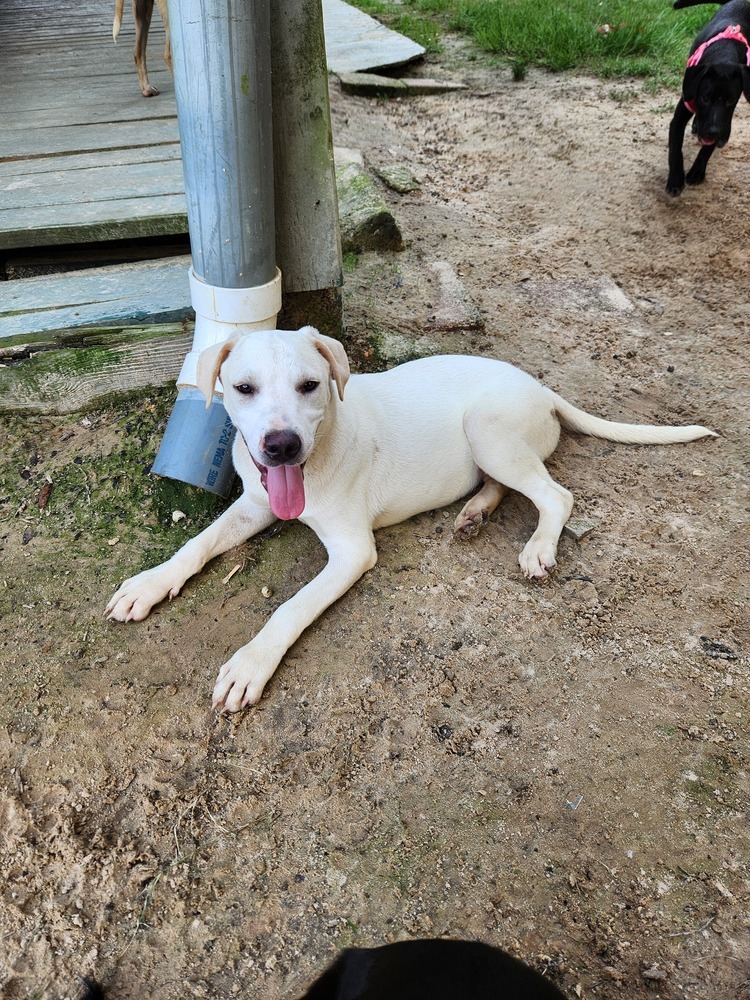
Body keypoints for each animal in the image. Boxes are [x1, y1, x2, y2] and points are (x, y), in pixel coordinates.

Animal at [107, 326, 716, 712]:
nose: (280, 447)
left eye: (310, 385)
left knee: (555, 495)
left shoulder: (352, 551)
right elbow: (197, 544)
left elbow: (290, 606)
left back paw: (540, 545)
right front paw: (149, 584)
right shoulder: (254, 504)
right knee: (507, 484)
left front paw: (251, 663)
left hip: (487, 428)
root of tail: (543, 389)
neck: (320, 449)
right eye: (242, 388)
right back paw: (474, 512)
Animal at [668, 0, 750, 196]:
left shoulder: (722, 120)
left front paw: (697, 171)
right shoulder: (681, 114)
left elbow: (708, 148)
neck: (723, 54)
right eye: (705, 98)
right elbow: (675, 149)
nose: (712, 131)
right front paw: (675, 179)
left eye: (730, 101)